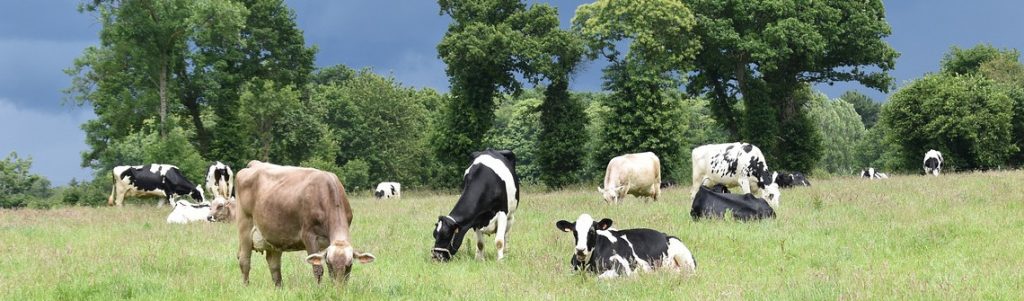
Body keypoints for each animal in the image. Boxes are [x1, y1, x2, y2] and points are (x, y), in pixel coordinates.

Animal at [232, 160, 376, 286]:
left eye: (349, 265)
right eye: (329, 264)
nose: (339, 287)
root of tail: (254, 164)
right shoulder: (309, 235)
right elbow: (317, 269)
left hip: (273, 235)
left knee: (274, 264)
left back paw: (279, 288)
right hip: (245, 227)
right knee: (245, 260)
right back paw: (246, 287)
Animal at [557, 212, 700, 278]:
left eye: (592, 231)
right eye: (575, 232)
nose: (580, 250)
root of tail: (664, 234)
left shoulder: (621, 269)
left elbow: (599, 278)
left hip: (686, 260)